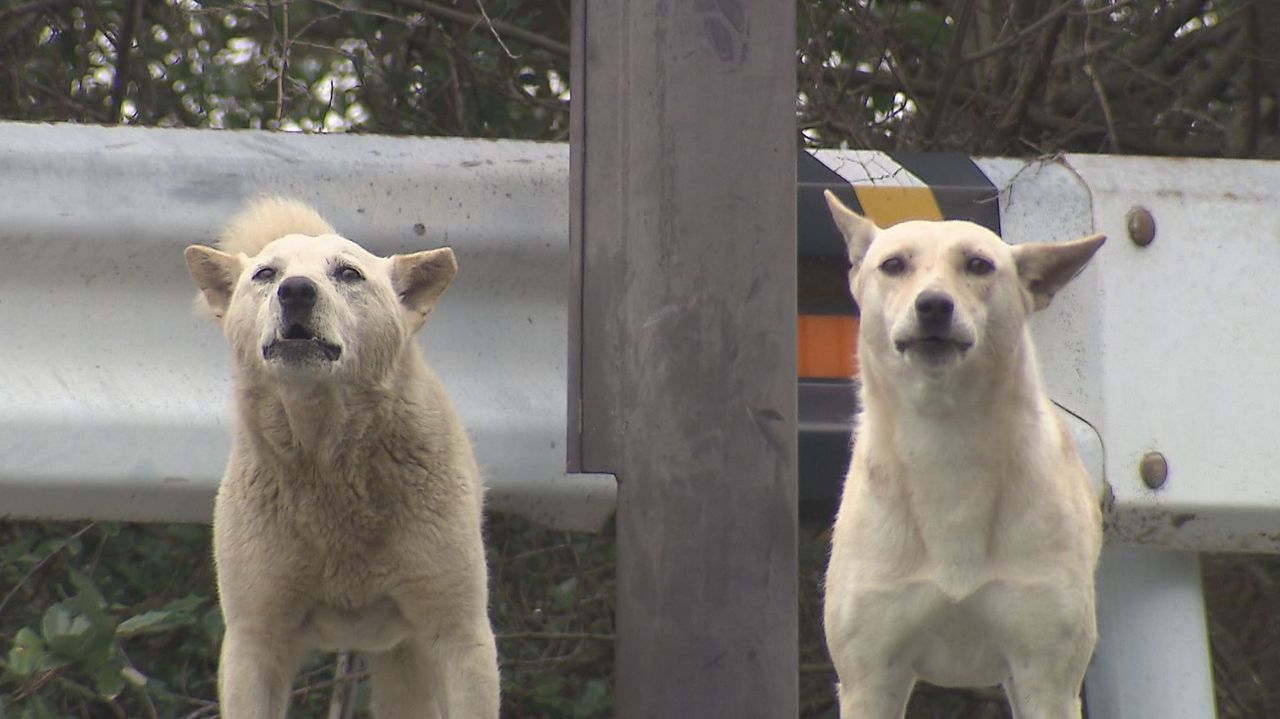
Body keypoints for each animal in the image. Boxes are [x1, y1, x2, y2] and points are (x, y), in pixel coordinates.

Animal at [824, 188, 1105, 711]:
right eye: (893, 265)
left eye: (978, 265)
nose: (934, 304)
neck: (945, 439)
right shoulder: (869, 679)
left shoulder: (1048, 679)